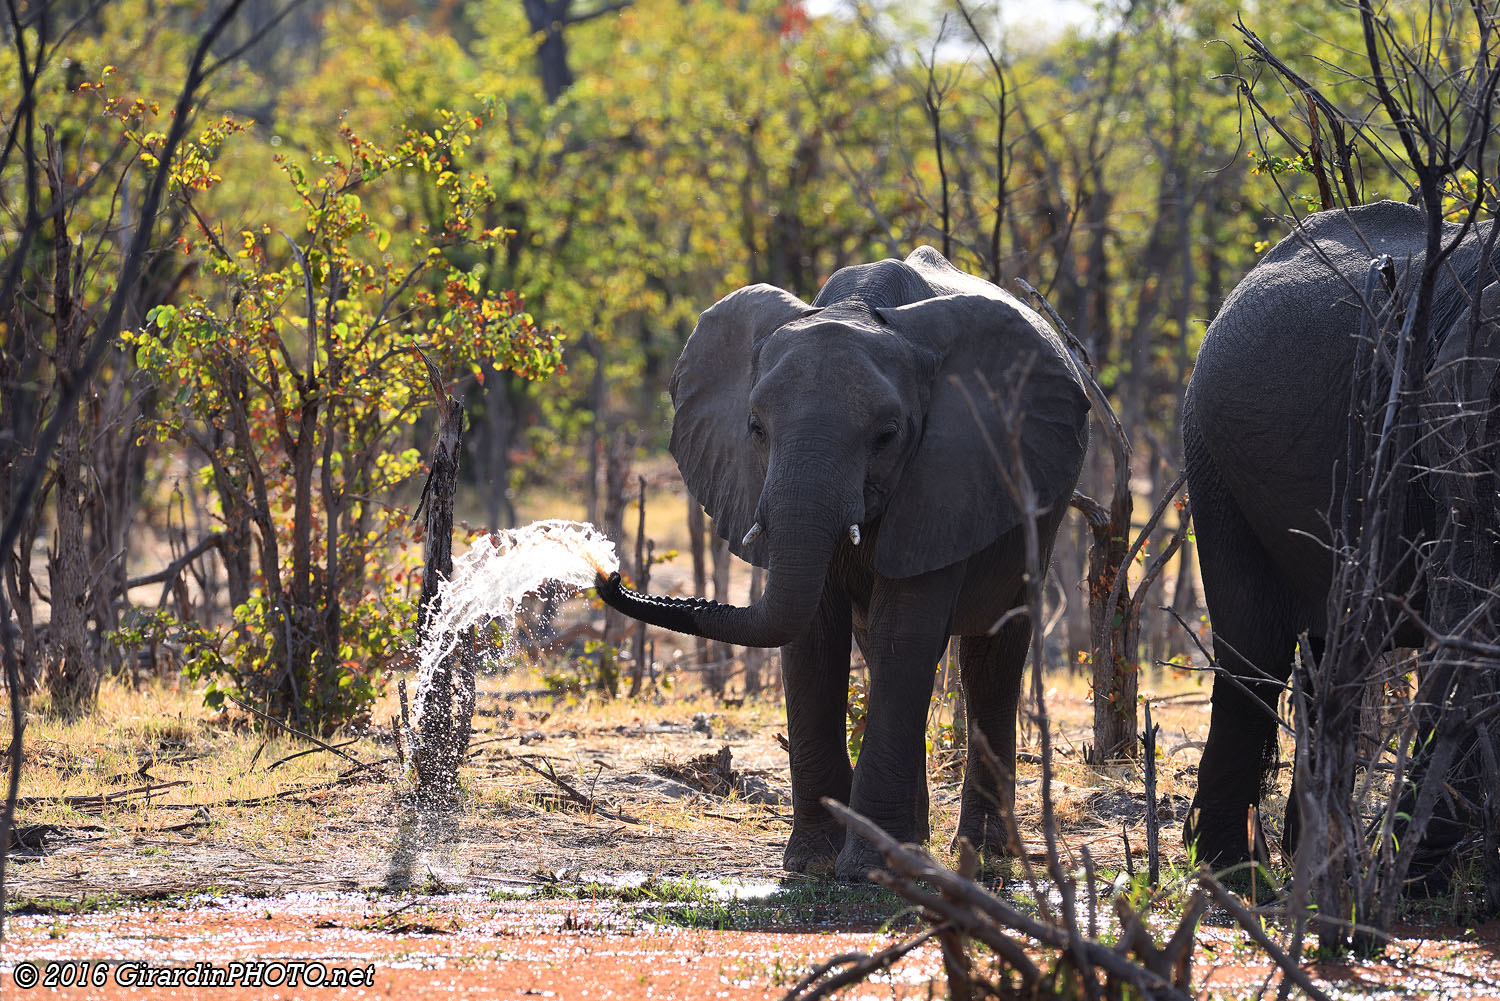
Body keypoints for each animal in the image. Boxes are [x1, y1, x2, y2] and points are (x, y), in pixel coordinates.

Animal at [596, 247, 1089, 879]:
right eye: (756, 429)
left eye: (887, 435)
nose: (610, 574)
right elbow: (812, 636)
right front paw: (813, 864)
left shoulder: (948, 479)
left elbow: (907, 632)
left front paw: (872, 872)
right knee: (880, 650)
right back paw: (917, 842)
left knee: (991, 657)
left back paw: (980, 856)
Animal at [1183, 199, 1500, 871]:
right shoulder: (1462, 426)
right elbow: (1472, 627)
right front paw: (1422, 878)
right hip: (1213, 463)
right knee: (1252, 656)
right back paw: (1235, 874)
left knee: (1329, 667)